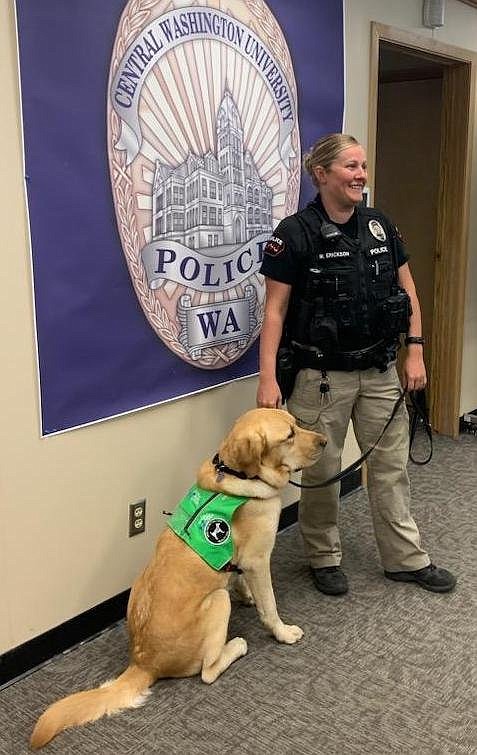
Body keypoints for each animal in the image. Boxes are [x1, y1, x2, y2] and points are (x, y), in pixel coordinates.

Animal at [31, 414, 326, 752]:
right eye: (289, 436)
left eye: (297, 423)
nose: (324, 442)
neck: (237, 475)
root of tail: (143, 662)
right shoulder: (258, 560)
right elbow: (270, 606)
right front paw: (283, 632)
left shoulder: (243, 562)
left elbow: (240, 579)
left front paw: (246, 594)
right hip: (217, 602)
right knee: (207, 671)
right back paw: (236, 646)